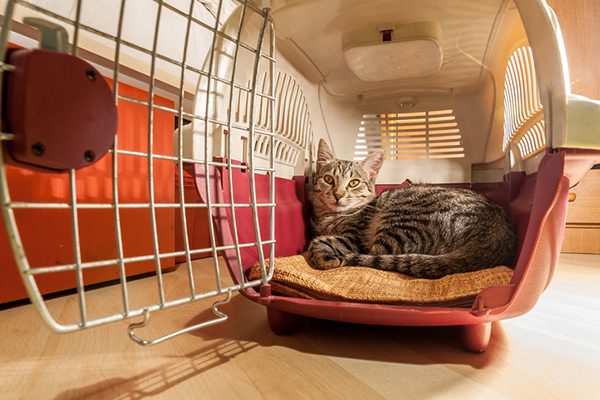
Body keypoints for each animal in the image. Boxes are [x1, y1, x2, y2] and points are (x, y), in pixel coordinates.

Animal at [308, 140, 516, 278]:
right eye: (328, 179)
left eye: (354, 183)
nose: (338, 194)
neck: (330, 216)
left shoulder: (356, 236)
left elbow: (334, 241)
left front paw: (323, 249)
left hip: (401, 220)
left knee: (375, 255)